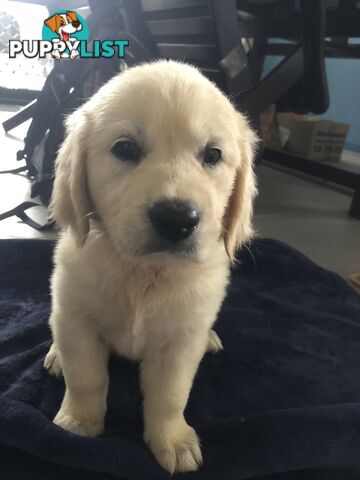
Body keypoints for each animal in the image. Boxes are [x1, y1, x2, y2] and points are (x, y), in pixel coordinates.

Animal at [45, 59, 258, 472]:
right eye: (125, 148)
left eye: (212, 155)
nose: (177, 219)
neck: (146, 273)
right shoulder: (77, 321)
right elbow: (86, 377)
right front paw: (78, 424)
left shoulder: (180, 341)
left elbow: (171, 395)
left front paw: (172, 440)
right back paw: (54, 356)